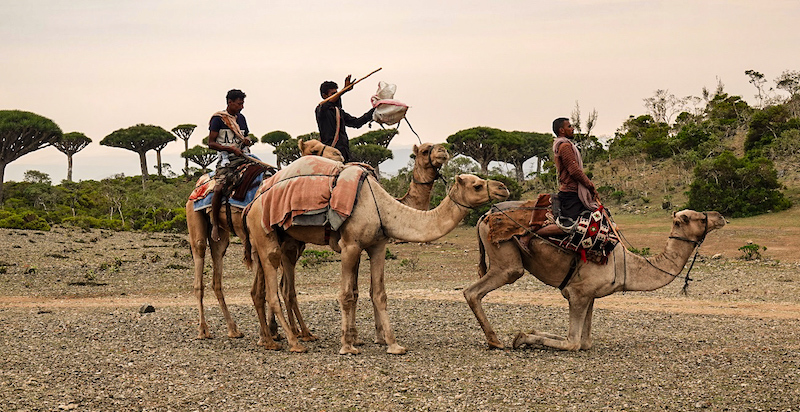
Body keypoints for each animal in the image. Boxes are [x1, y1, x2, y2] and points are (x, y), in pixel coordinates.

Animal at [188, 138, 344, 338]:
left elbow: (282, 286)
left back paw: (233, 329)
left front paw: (282, 330)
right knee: (199, 271)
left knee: (217, 278)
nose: (339, 155)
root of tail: (198, 185)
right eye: (315, 150)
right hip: (195, 222)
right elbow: (270, 286)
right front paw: (272, 331)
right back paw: (203, 329)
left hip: (220, 236)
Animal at [242, 158, 512, 354]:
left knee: (264, 289)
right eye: (477, 185)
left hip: (280, 240)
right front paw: (348, 346)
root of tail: (251, 204)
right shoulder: (350, 246)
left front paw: (392, 344)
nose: (503, 188)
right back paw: (294, 342)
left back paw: (270, 340)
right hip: (266, 235)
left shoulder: (377, 246)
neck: (382, 207)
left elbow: (378, 294)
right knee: (273, 289)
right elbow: (346, 295)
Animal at [462, 209, 724, 350]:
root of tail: (484, 216)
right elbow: (573, 342)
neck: (626, 266)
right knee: (475, 290)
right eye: (700, 218)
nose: (720, 216)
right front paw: (522, 338)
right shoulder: (577, 294)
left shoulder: (590, 296)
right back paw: (495, 341)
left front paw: (531, 335)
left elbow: (584, 340)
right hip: (506, 260)